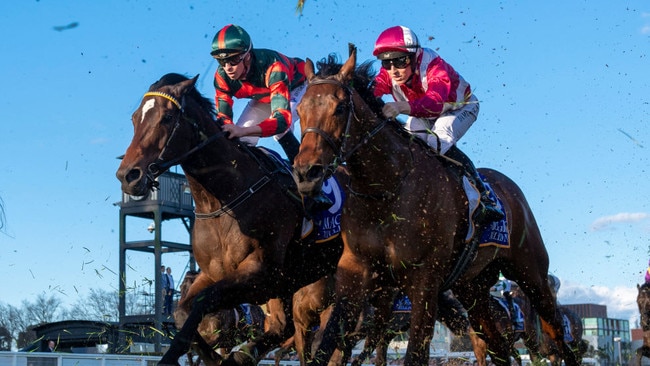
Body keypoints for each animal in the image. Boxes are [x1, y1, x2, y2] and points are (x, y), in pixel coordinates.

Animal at [115, 73, 344, 364]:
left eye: (167, 117)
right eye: (135, 118)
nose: (127, 176)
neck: (223, 201)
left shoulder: (261, 273)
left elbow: (203, 302)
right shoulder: (215, 272)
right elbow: (182, 312)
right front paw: (218, 356)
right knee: (284, 327)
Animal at [288, 48, 572, 366]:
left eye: (339, 108)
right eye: (300, 111)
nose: (306, 173)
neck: (388, 188)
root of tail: (512, 191)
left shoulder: (425, 281)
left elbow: (414, 354)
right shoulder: (354, 275)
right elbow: (325, 347)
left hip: (532, 273)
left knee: (559, 336)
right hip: (471, 288)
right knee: (497, 347)